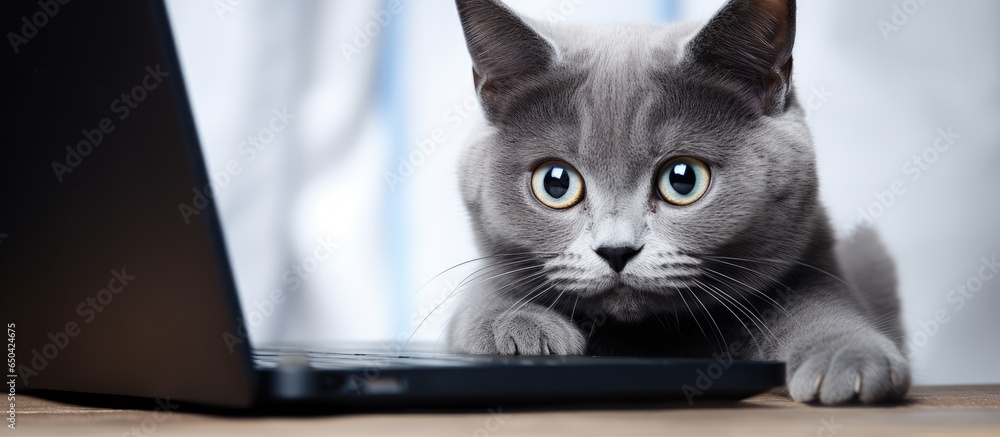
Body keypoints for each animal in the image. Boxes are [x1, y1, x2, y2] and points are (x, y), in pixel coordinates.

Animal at [450, 0, 912, 404]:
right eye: (555, 183)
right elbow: (484, 296)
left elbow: (821, 305)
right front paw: (517, 329)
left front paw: (848, 356)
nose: (617, 250)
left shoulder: (816, 257)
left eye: (683, 179)